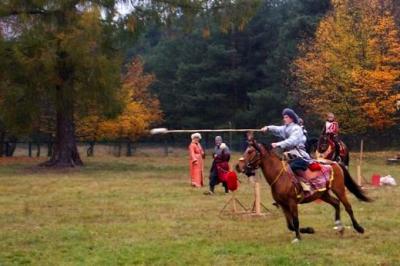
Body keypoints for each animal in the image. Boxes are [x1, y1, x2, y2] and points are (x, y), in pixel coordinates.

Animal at [236, 135, 370, 243]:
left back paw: (359, 228)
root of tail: (335, 163)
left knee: (348, 207)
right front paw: (309, 230)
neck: (280, 175)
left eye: (250, 151)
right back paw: (339, 226)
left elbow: (295, 221)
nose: (238, 166)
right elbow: (290, 225)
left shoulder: (292, 202)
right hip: (323, 194)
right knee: (336, 203)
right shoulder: (283, 205)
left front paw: (298, 238)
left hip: (339, 189)